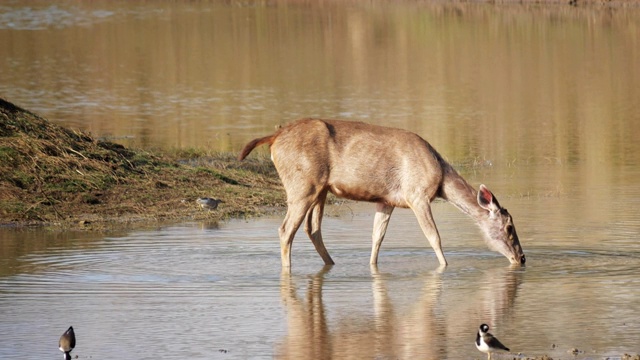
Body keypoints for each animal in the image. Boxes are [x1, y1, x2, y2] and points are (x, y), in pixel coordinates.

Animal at [240, 119, 524, 268]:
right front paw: (444, 266)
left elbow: (377, 237)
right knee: (286, 229)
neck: (440, 176)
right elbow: (434, 236)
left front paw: (372, 267)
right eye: (509, 226)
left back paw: (331, 264)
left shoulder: (386, 201)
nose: (521, 258)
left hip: (319, 190)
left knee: (313, 228)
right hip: (302, 185)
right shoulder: (417, 195)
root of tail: (274, 138)